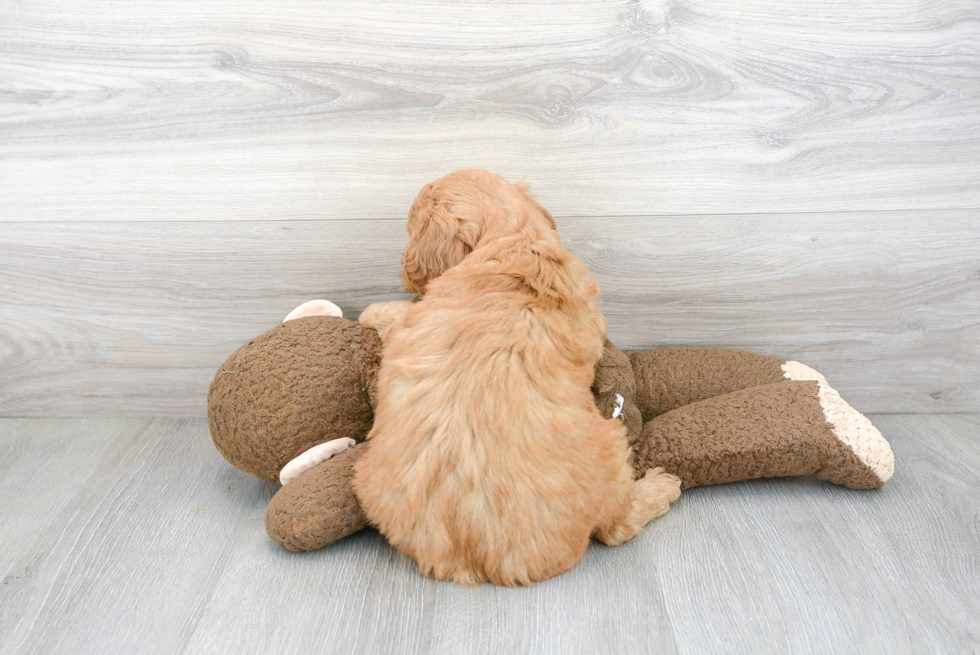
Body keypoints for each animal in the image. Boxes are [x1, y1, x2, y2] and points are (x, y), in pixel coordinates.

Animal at [354, 172, 680, 588]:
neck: (514, 239)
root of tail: (488, 559)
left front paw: (371, 311)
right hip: (611, 446)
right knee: (616, 526)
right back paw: (662, 485)